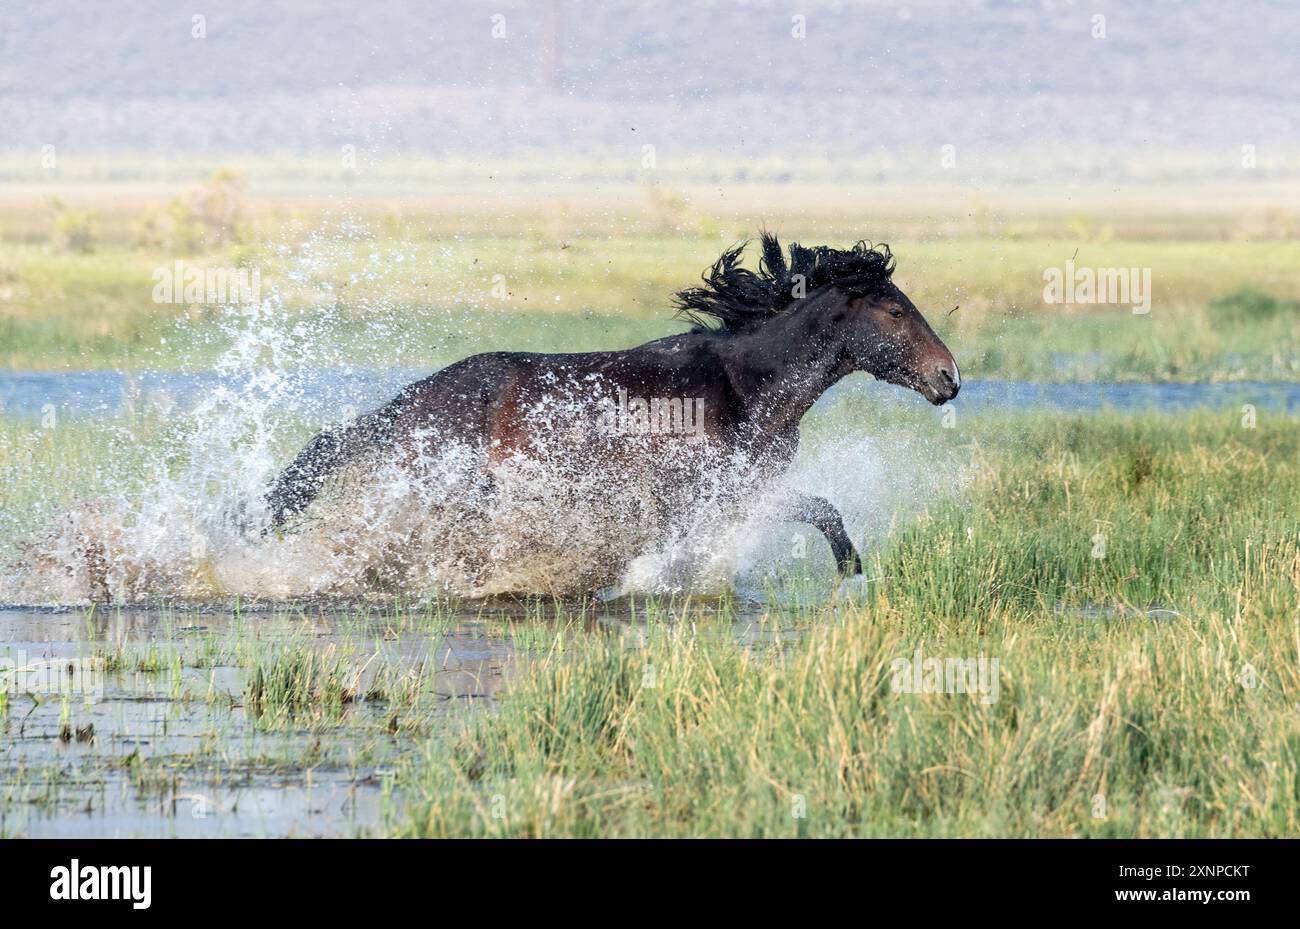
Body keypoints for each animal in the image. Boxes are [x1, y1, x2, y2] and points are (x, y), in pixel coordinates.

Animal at [266, 232, 956, 582]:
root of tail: (408, 403)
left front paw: (851, 568)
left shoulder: (739, 493)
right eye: (894, 310)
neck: (746, 387)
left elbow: (820, 510)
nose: (948, 376)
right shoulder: (701, 495)